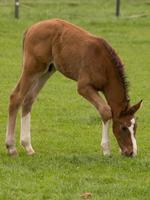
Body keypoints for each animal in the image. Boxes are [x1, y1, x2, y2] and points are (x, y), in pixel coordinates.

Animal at [5, 19, 142, 156]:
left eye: (135, 127)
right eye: (123, 127)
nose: (131, 152)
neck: (104, 64)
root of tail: (31, 28)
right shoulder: (84, 87)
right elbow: (106, 111)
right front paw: (106, 150)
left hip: (46, 70)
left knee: (28, 99)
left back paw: (28, 146)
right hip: (32, 67)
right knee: (16, 96)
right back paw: (11, 147)